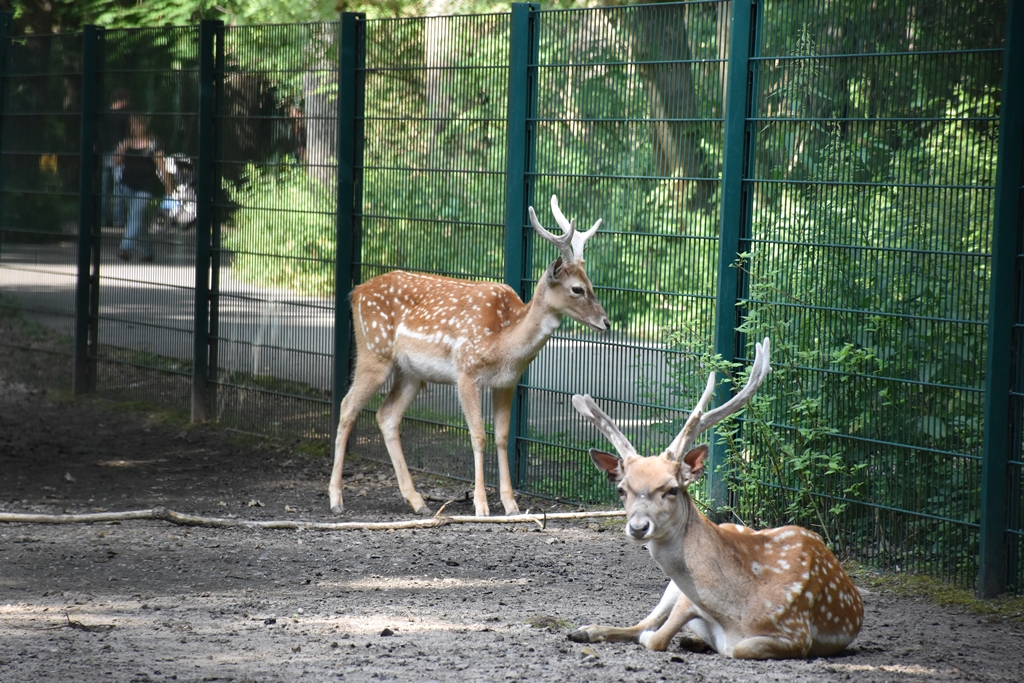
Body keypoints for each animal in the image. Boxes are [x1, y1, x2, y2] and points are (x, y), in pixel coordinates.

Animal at [329, 195, 610, 517]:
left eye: (592, 284)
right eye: (577, 289)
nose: (606, 322)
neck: (503, 343)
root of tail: (355, 293)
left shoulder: (507, 382)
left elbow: (502, 437)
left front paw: (511, 504)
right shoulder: (466, 371)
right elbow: (478, 436)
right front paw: (481, 504)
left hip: (411, 373)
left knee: (386, 415)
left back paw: (417, 501)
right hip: (373, 351)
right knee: (348, 406)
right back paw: (336, 499)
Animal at [568, 338, 864, 659]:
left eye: (672, 489)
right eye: (622, 490)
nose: (638, 527)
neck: (740, 611)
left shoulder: (796, 632)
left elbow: (734, 647)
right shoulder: (687, 599)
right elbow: (657, 634)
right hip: (672, 589)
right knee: (642, 623)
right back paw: (585, 630)